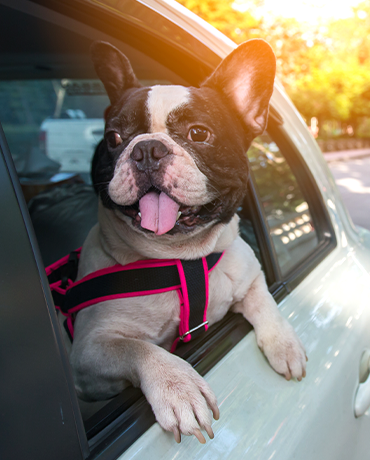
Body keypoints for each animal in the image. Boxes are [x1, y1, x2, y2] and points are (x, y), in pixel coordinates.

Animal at [69, 41, 306, 444]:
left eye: (198, 134)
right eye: (114, 138)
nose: (147, 149)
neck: (183, 259)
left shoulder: (250, 276)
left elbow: (266, 304)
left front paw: (285, 345)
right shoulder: (89, 353)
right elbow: (137, 348)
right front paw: (177, 385)